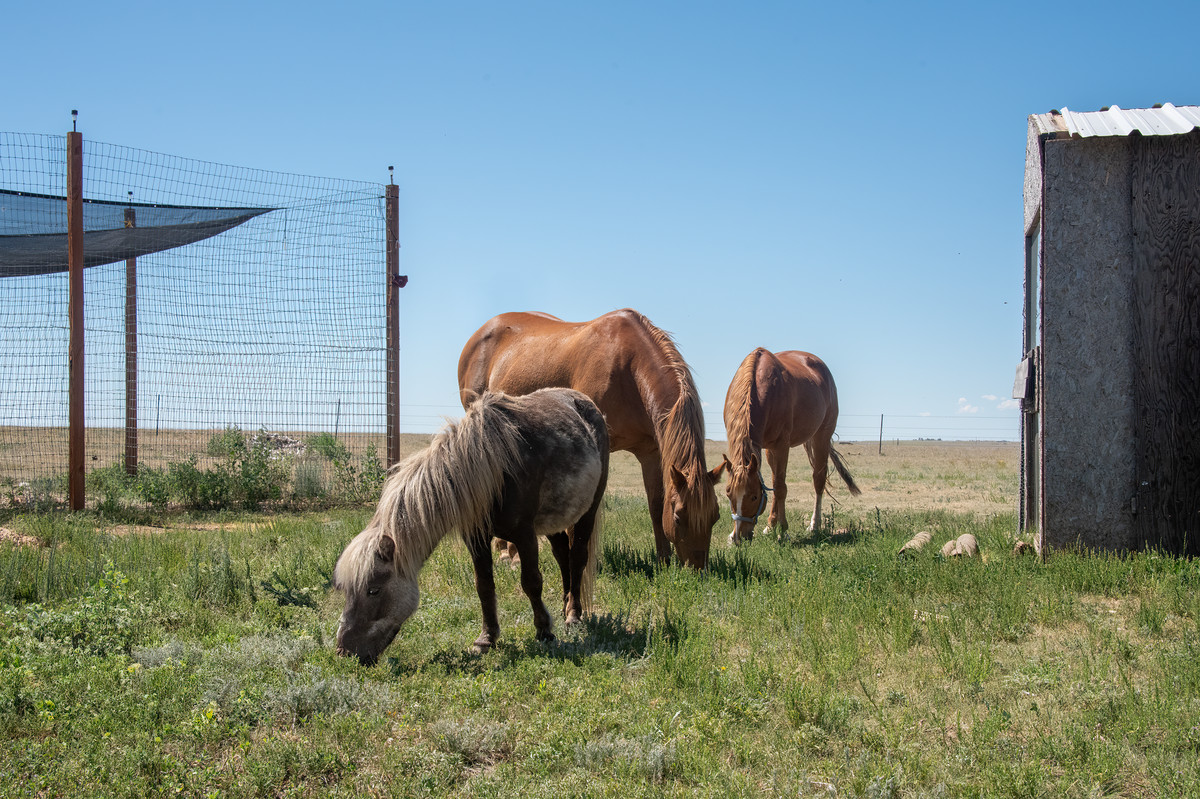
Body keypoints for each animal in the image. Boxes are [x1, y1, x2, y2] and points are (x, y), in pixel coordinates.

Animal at [331, 386, 604, 657]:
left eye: (373, 590)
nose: (344, 651)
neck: (493, 468)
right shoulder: (476, 538)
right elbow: (484, 586)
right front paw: (486, 638)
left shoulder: (524, 535)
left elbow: (531, 582)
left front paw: (544, 631)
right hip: (553, 521)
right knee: (562, 556)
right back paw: (565, 605)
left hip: (587, 512)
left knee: (577, 558)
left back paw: (573, 615)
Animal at [456, 305, 720, 566]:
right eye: (678, 517)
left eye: (715, 516)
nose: (698, 569)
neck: (627, 368)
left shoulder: (650, 453)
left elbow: (655, 505)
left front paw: (663, 561)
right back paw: (506, 552)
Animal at [720, 347, 864, 542]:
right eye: (728, 493)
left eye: (754, 497)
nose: (738, 537)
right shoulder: (768, 447)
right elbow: (775, 485)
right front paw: (771, 526)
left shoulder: (782, 445)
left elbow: (781, 488)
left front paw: (783, 530)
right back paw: (770, 526)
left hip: (821, 436)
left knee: (818, 479)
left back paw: (814, 525)